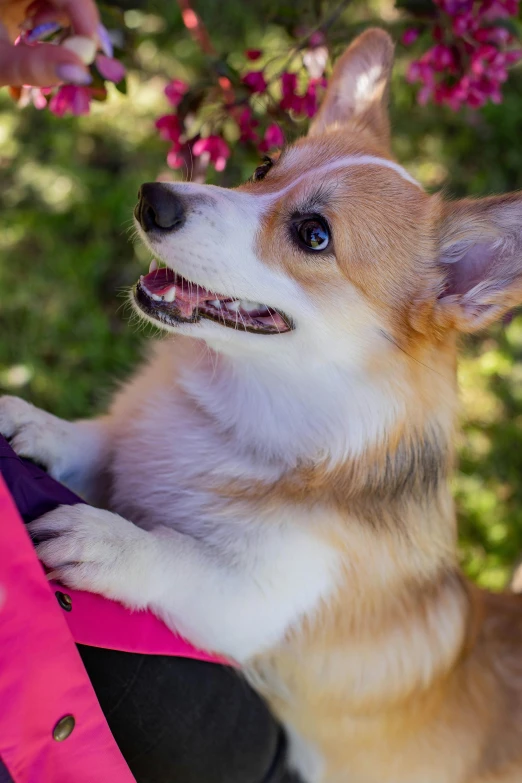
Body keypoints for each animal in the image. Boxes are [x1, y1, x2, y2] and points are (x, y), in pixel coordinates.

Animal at [3, 26, 520, 783]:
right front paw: (34, 424)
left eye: (314, 234)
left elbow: (180, 557)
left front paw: (108, 539)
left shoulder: (260, 601)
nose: (153, 198)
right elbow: (98, 440)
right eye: (263, 163)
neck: (235, 406)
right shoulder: (134, 444)